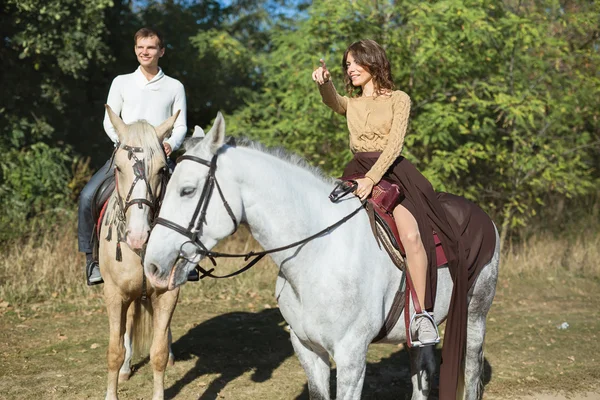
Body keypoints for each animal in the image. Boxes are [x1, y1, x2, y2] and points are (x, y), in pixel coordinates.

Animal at [99, 106, 180, 400]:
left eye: (162, 169)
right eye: (118, 168)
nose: (137, 235)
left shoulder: (168, 293)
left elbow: (158, 352)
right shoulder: (114, 294)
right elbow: (114, 350)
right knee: (128, 326)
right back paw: (125, 368)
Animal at [143, 113, 500, 400]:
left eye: (187, 190)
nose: (152, 265)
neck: (319, 258)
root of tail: (484, 218)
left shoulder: (351, 357)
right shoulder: (307, 349)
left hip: (475, 316)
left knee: (470, 373)